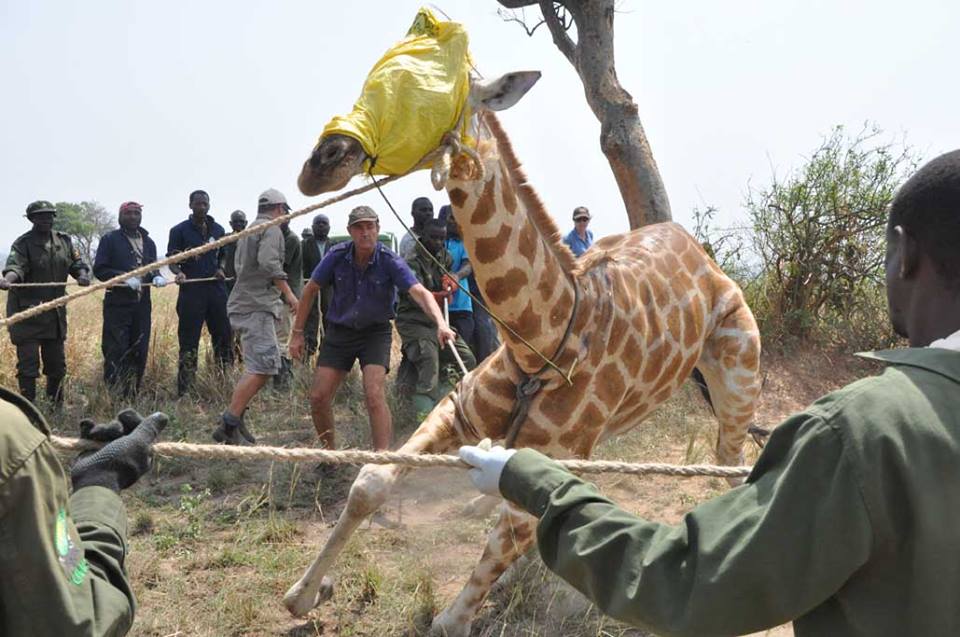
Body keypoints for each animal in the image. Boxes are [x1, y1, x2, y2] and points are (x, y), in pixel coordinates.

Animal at [285, 72, 762, 636]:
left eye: (429, 95)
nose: (319, 163)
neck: (544, 339)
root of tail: (698, 252)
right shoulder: (458, 409)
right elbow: (369, 482)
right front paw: (303, 594)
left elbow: (460, 608)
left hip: (739, 364)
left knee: (728, 459)